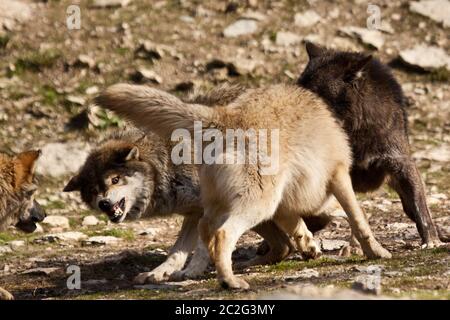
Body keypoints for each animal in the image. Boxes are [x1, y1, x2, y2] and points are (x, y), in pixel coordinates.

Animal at [95, 82, 390, 290]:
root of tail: (222, 118)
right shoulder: (338, 177)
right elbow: (359, 220)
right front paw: (376, 252)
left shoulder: (285, 205)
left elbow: (303, 227)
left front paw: (310, 248)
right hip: (258, 204)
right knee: (223, 235)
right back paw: (230, 282)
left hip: (228, 205)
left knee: (205, 231)